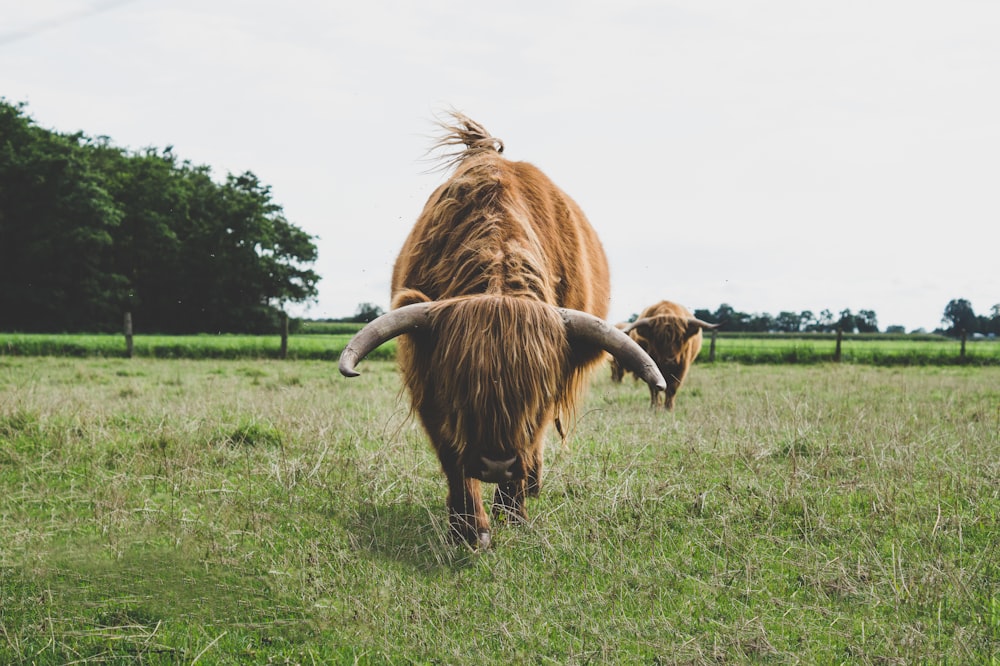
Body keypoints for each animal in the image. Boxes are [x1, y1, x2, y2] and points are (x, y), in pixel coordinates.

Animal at [340, 114, 668, 548]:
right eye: (459, 388)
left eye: (537, 395)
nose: (497, 464)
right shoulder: (428, 386)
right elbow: (453, 458)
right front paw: (469, 527)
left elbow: (531, 444)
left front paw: (513, 513)